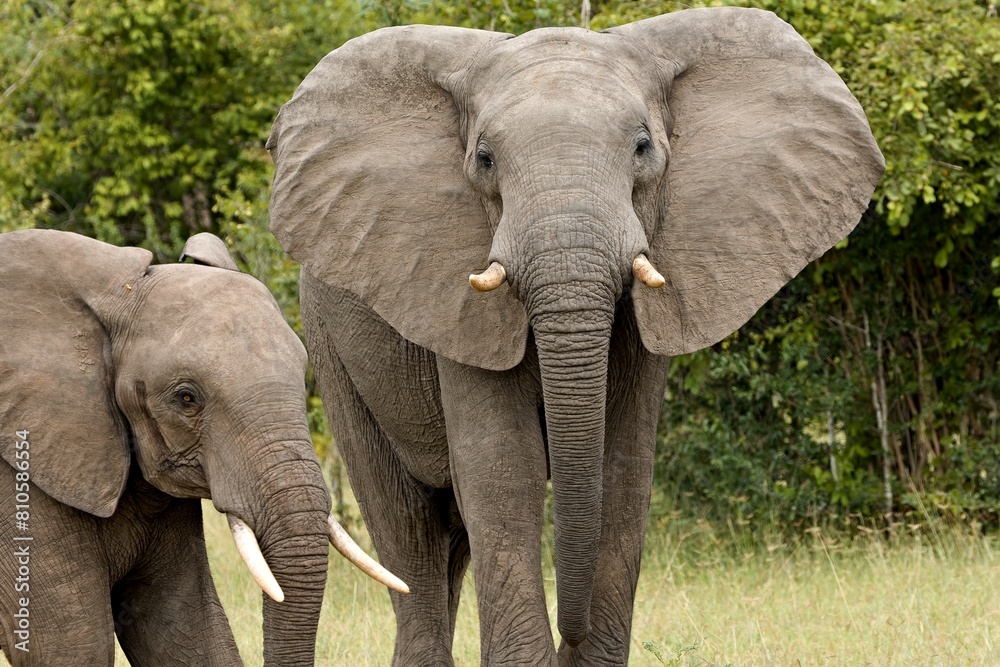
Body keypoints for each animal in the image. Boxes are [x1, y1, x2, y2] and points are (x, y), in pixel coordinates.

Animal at [266, 7, 884, 666]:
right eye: (484, 158)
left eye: (643, 147)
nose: (574, 629)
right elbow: (503, 469)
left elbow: (624, 470)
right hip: (328, 339)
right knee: (406, 526)